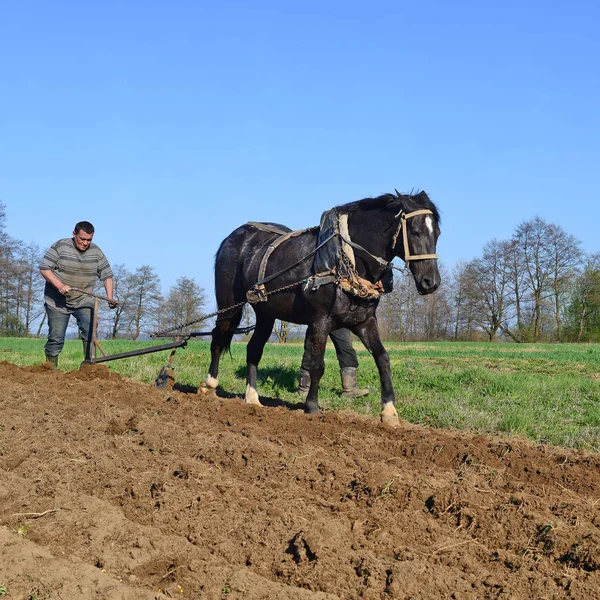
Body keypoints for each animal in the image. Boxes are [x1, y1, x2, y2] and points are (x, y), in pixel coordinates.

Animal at [202, 191, 440, 426]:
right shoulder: (320, 322)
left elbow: (383, 358)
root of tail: (235, 235)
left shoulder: (365, 322)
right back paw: (209, 385)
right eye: (415, 232)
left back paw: (252, 398)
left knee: (254, 349)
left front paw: (389, 412)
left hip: (265, 314)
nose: (431, 282)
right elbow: (317, 365)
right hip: (228, 305)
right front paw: (312, 407)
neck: (345, 259)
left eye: (437, 233)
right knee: (218, 338)